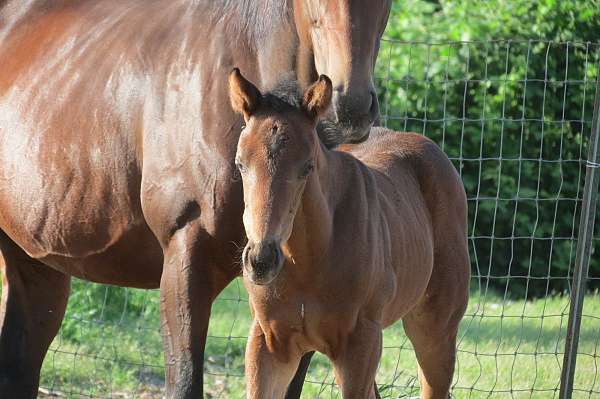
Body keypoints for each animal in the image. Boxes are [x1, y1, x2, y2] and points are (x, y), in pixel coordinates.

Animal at [229, 70, 468, 398]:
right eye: (240, 164)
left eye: (307, 167)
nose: (261, 260)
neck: (308, 261)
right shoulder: (268, 344)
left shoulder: (360, 344)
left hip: (435, 330)